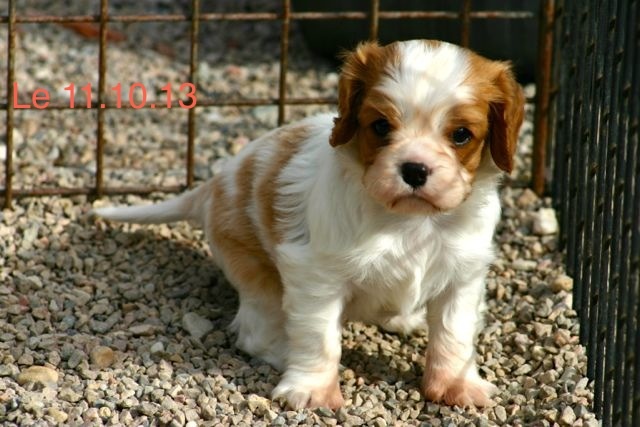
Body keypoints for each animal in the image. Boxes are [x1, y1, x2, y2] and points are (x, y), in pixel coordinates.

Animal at [95, 40, 524, 412]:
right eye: (380, 127)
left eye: (461, 135)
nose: (414, 170)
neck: (409, 221)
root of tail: (212, 185)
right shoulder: (317, 277)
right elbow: (320, 338)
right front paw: (313, 389)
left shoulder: (462, 276)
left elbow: (454, 334)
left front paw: (455, 385)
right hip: (258, 278)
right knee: (256, 331)